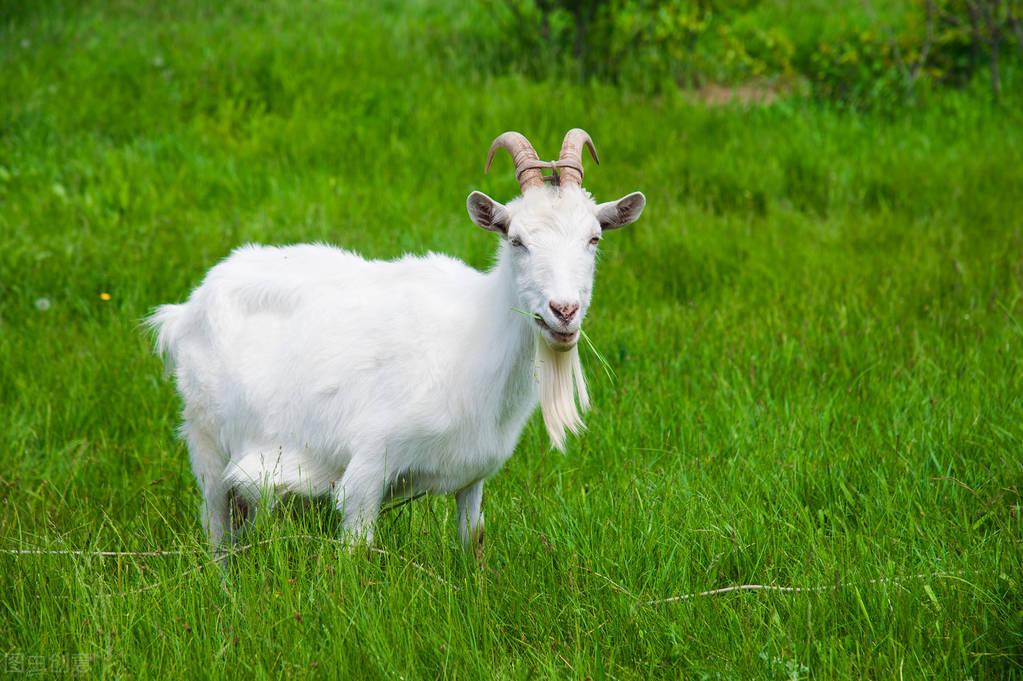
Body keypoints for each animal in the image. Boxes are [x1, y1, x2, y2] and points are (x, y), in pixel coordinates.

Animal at [149, 129, 646, 548]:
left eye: (594, 238)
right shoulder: (368, 468)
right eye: (517, 240)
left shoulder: (473, 478)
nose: (564, 311)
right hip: (207, 442)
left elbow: (472, 542)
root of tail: (185, 310)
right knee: (218, 533)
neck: (474, 335)